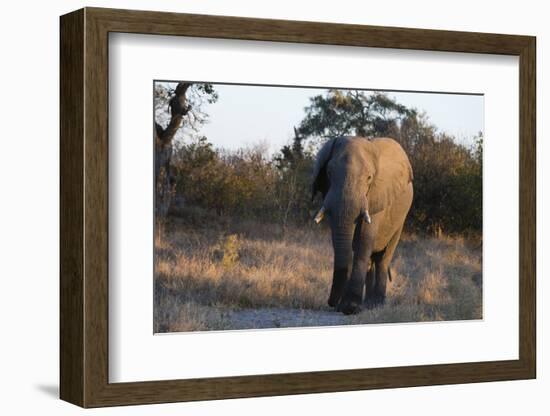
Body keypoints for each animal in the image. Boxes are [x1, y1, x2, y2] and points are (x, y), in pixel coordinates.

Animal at [314, 136, 414, 316]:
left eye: (369, 178)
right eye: (329, 173)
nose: (331, 303)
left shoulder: (377, 196)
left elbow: (363, 240)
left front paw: (350, 308)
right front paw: (346, 306)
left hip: (401, 218)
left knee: (383, 257)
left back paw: (376, 305)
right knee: (371, 259)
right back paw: (367, 304)